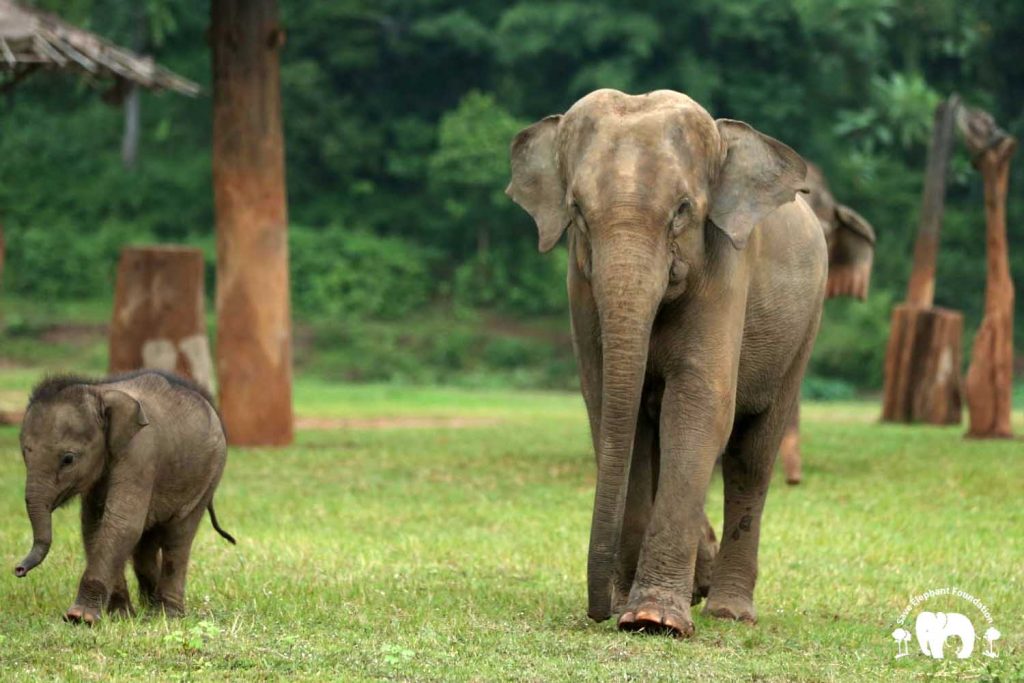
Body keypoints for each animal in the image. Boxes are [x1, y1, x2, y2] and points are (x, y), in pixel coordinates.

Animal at [14, 370, 235, 625]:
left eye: (68, 459)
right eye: (24, 454)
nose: (18, 570)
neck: (99, 390)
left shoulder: (140, 453)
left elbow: (122, 524)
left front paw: (80, 617)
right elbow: (94, 526)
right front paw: (119, 616)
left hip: (209, 475)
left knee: (178, 537)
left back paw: (167, 614)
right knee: (146, 547)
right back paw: (150, 606)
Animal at [507, 89, 827, 637]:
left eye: (682, 210)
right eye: (577, 211)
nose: (597, 611)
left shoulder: (726, 270)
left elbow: (699, 406)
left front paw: (654, 620)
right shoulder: (580, 283)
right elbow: (613, 408)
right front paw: (632, 608)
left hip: (804, 329)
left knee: (752, 454)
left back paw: (729, 610)